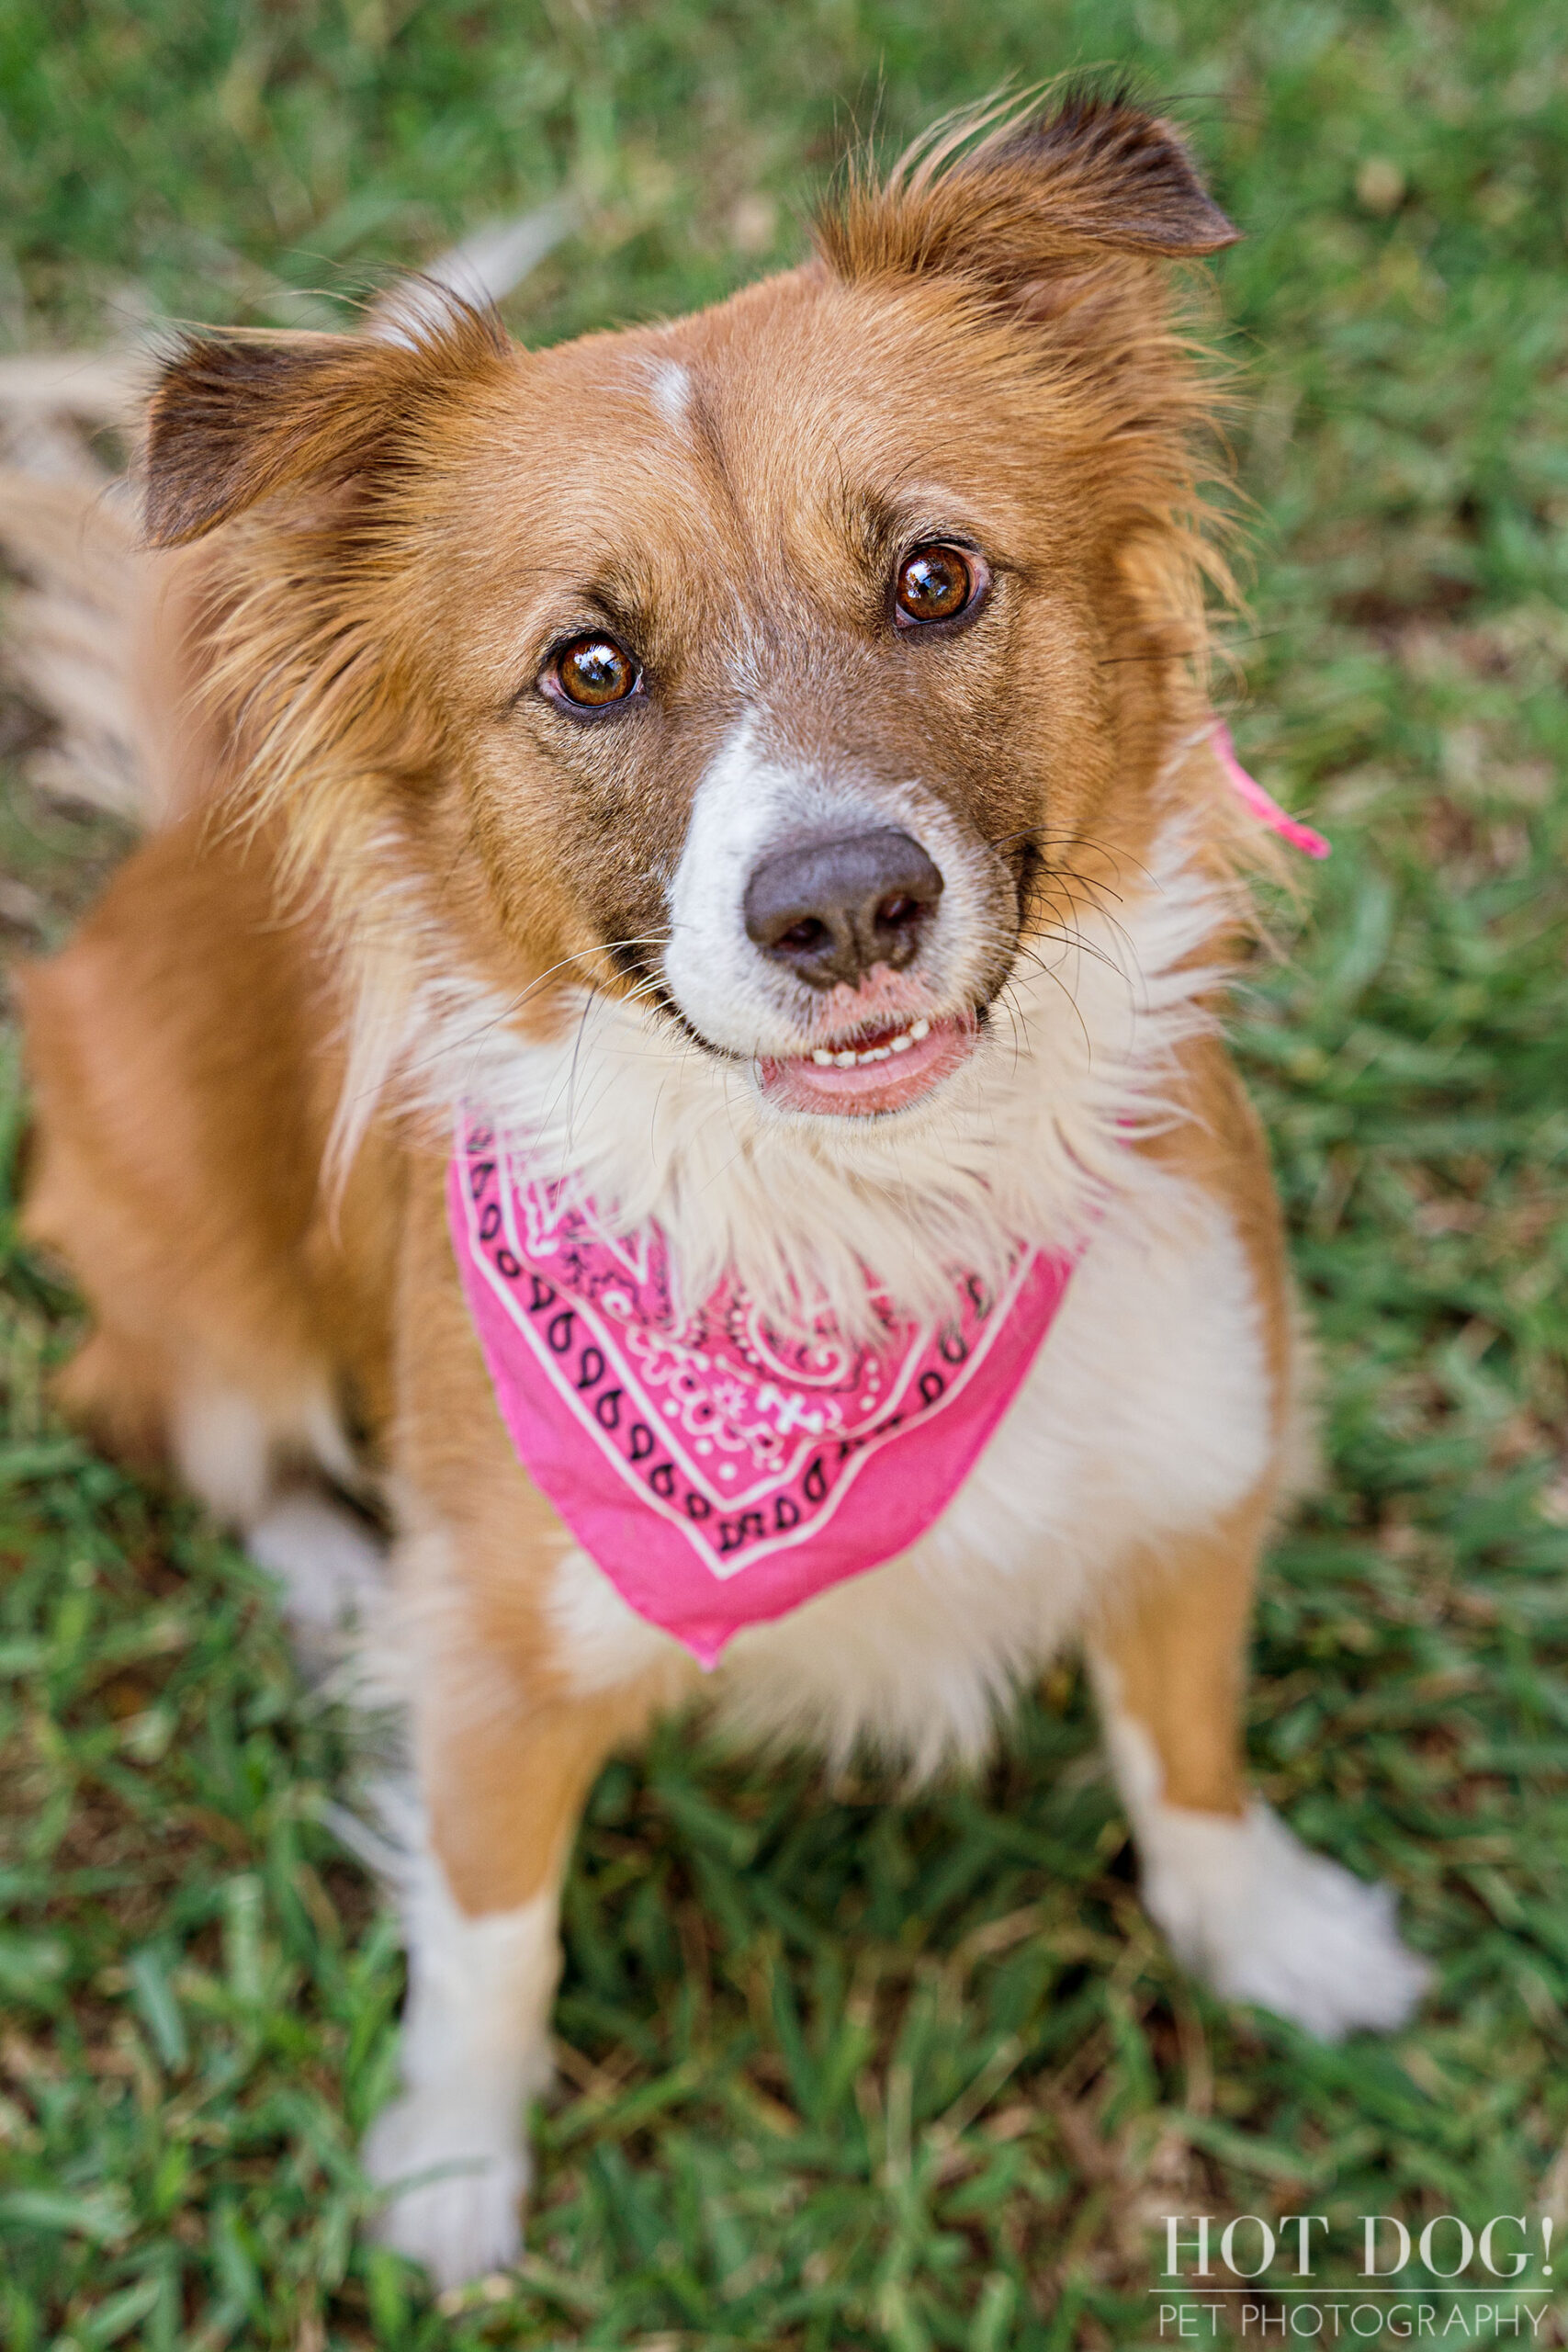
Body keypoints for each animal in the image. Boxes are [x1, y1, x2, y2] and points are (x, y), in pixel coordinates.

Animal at [17, 101, 1429, 2286]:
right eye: (588, 667)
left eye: (934, 578)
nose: (841, 905)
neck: (866, 1221)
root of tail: (178, 836)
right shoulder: (502, 1665)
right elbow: (487, 1933)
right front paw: (444, 2176)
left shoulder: (1201, 1467)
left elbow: (1186, 1746)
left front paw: (1269, 1930)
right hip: (205, 1294)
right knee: (184, 1421)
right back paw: (338, 1577)